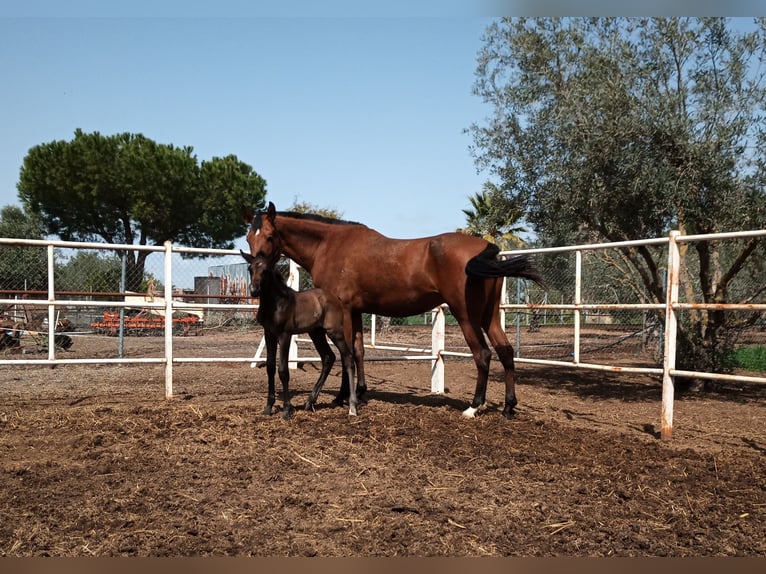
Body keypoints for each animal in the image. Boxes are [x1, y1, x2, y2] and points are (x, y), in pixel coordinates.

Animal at [242, 252, 358, 418]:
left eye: (266, 270)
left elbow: (283, 370)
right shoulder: (269, 334)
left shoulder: (285, 334)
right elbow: (270, 367)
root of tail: (336, 299)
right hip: (316, 332)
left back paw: (353, 406)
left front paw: (286, 410)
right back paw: (310, 402)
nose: (254, 290)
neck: (276, 303)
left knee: (347, 358)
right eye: (250, 269)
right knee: (328, 357)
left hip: (334, 332)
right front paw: (268, 407)